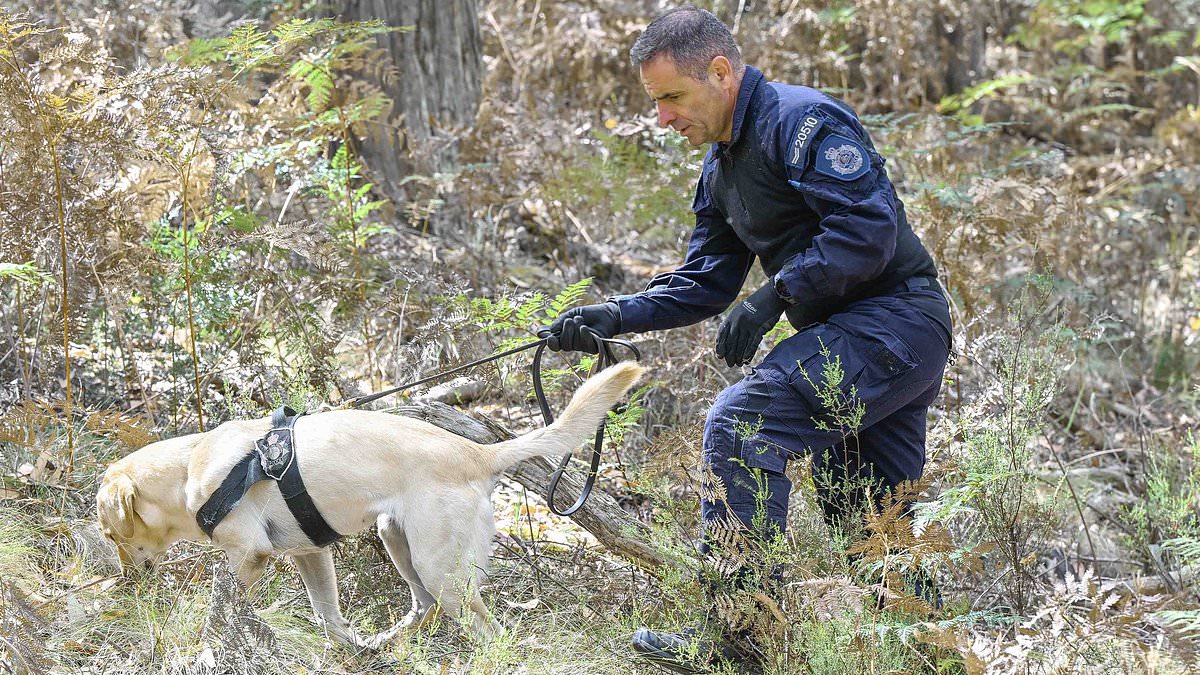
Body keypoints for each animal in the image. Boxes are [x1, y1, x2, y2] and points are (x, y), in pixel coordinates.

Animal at [97, 360, 643, 643]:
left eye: (110, 534)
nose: (124, 581)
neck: (189, 468)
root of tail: (478, 452)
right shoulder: (310, 554)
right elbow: (329, 616)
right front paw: (342, 652)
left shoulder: (250, 553)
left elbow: (223, 602)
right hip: (398, 542)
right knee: (422, 606)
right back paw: (386, 645)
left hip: (440, 566)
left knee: (484, 627)